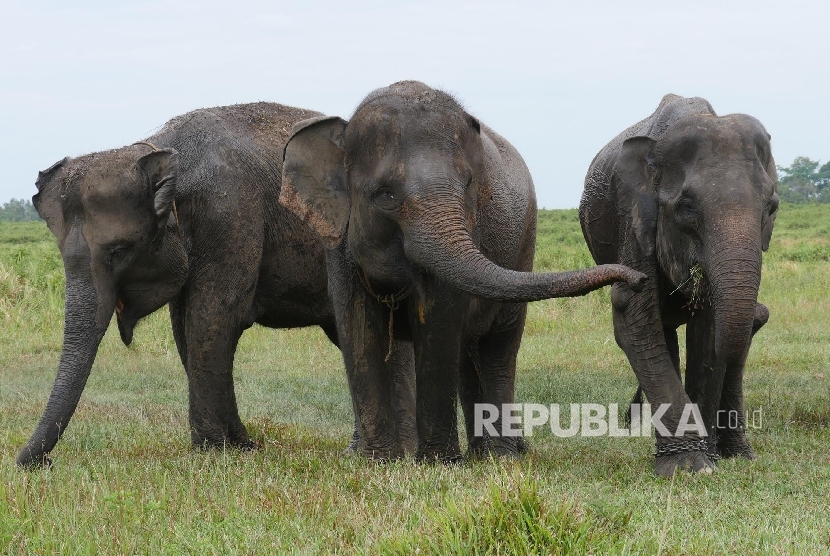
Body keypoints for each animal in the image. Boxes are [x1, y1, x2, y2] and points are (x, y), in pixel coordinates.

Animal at [17, 102, 422, 466]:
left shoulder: (229, 213)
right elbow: (186, 327)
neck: (160, 150)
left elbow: (213, 318)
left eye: (120, 250)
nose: (41, 462)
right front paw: (240, 447)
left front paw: (214, 451)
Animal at [276, 79, 648, 460]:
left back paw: (500, 456)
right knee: (469, 353)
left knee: (498, 348)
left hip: (525, 240)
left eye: (469, 185)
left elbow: (437, 324)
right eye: (385, 195)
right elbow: (359, 327)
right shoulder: (337, 241)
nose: (638, 279)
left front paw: (438, 462)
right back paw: (481, 454)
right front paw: (378, 461)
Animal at [580, 93, 780, 476]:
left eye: (772, 207)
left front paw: (708, 458)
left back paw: (738, 453)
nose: (761, 312)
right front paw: (688, 465)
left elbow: (708, 333)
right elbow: (634, 316)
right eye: (686, 207)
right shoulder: (635, 217)